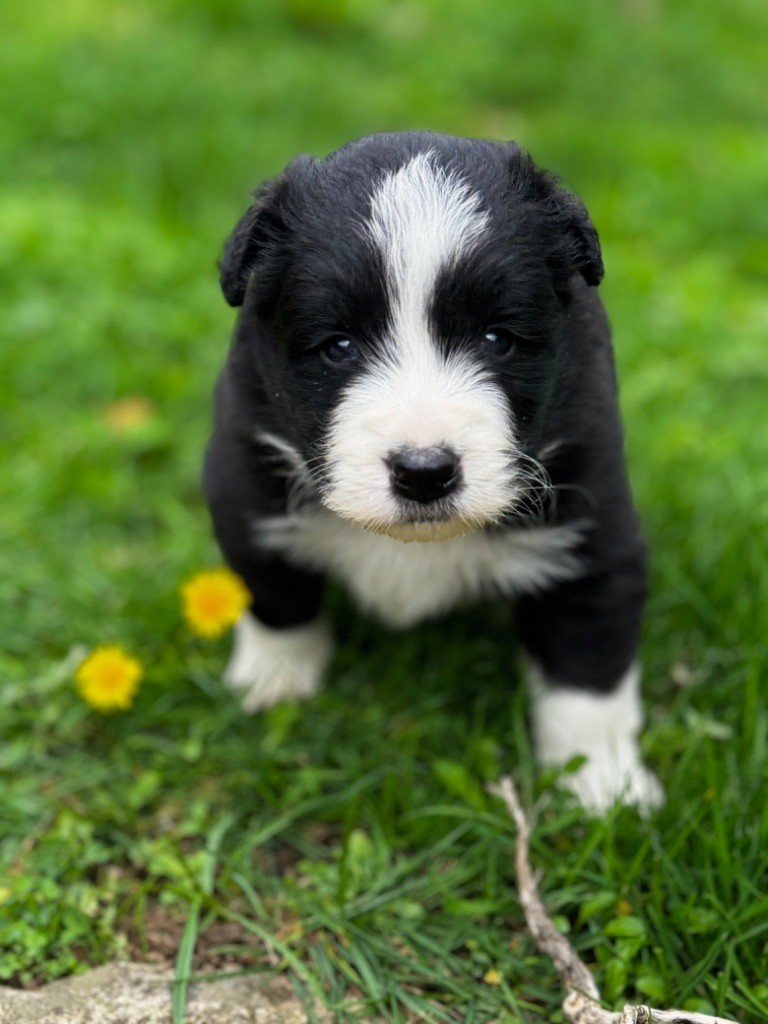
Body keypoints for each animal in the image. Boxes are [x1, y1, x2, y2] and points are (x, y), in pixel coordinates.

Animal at [205, 130, 667, 815]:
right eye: (338, 346)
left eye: (497, 339)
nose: (424, 472)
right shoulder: (243, 479)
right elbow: (274, 591)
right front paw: (274, 677)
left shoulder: (592, 520)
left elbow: (588, 667)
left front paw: (603, 783)